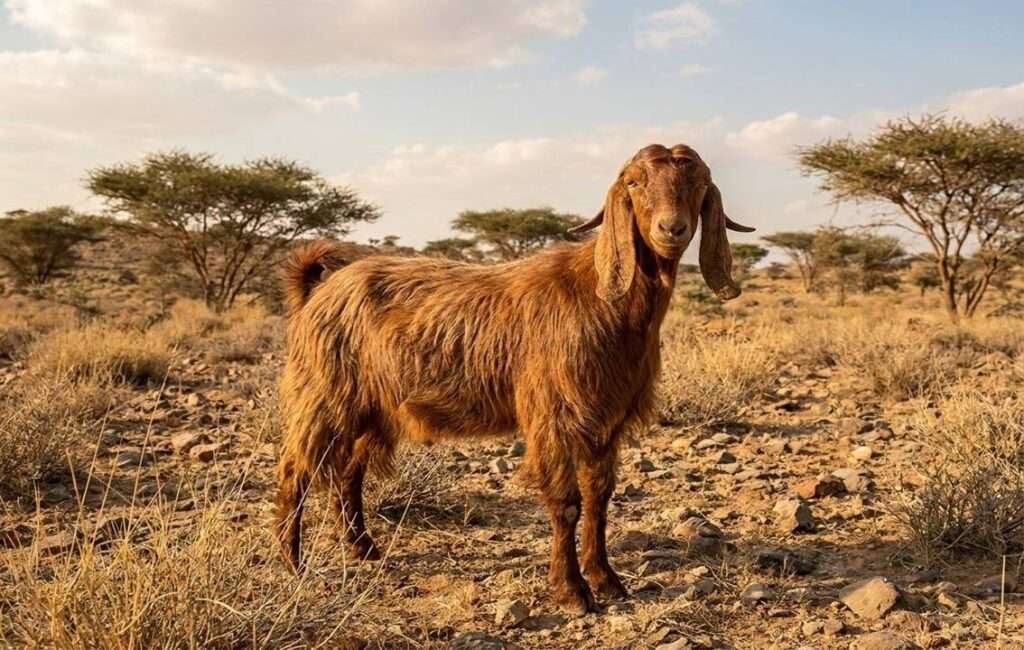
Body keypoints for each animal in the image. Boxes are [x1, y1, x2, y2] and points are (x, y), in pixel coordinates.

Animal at [274, 143, 754, 614]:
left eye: (698, 184)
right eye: (635, 183)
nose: (671, 229)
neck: (602, 297)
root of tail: (319, 290)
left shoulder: (607, 420)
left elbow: (599, 497)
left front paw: (607, 580)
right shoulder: (556, 416)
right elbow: (567, 502)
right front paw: (572, 592)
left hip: (374, 410)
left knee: (348, 472)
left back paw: (363, 549)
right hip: (323, 395)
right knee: (296, 468)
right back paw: (293, 562)